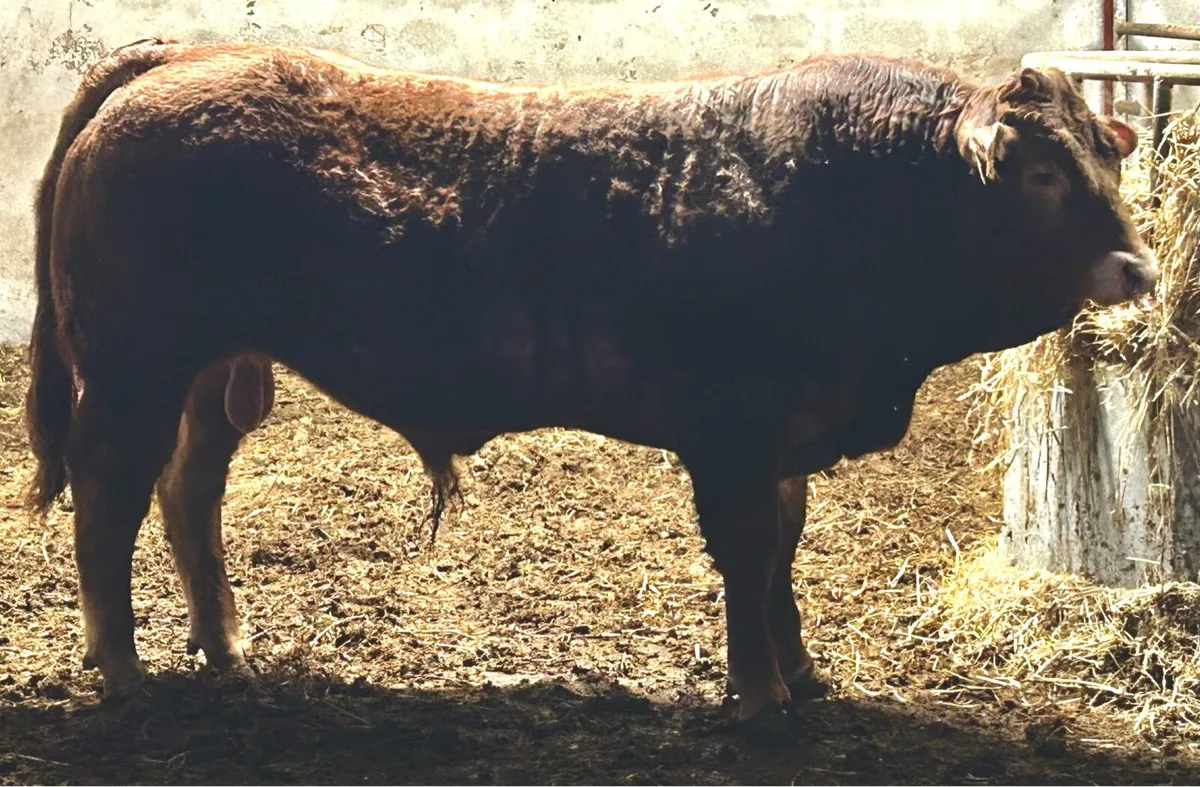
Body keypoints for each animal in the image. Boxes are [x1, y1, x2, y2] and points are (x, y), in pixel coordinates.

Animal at [24, 39, 1155, 724]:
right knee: (110, 499)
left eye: (1109, 157)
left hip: (215, 371)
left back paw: (224, 643)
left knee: (188, 489)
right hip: (131, 367)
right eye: (1043, 174)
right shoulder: (733, 435)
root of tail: (193, 52)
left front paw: (800, 671)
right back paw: (122, 670)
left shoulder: (783, 439)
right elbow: (750, 554)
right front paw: (758, 694)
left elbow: (782, 553)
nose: (1139, 270)